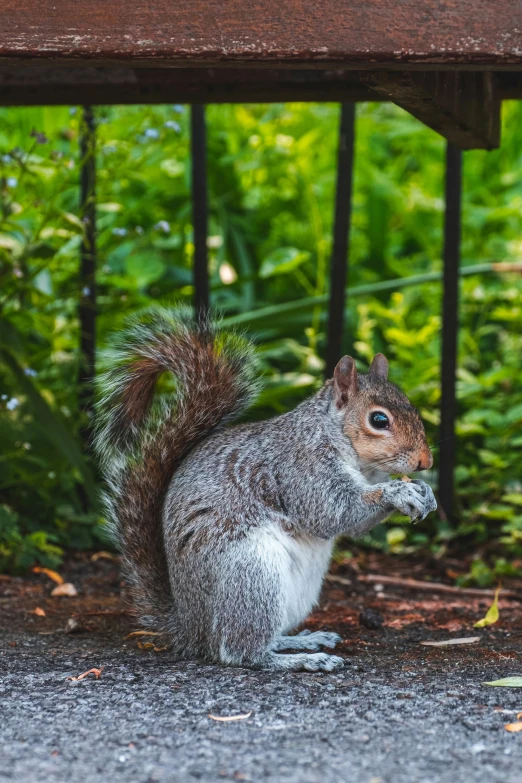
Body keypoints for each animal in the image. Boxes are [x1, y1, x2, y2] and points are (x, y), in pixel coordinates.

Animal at [93, 310, 434, 672]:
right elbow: (331, 512)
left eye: (411, 405)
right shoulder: (300, 466)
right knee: (241, 651)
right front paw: (398, 493)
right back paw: (302, 660)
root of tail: (190, 629)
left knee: (268, 636)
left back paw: (302, 640)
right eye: (379, 420)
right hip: (251, 575)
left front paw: (423, 491)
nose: (426, 461)